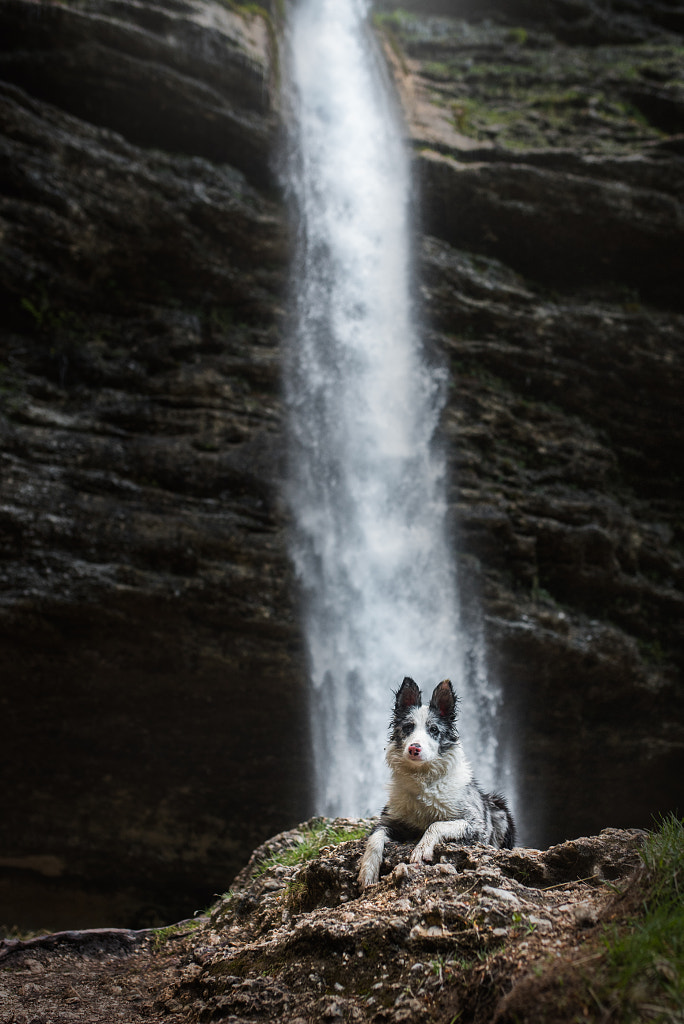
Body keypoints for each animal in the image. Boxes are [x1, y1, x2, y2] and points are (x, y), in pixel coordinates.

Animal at [358, 675, 511, 884]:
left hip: (499, 807)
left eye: (433, 729)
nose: (414, 748)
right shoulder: (390, 819)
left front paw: (422, 849)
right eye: (408, 727)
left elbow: (436, 824)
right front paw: (368, 870)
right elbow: (374, 838)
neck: (423, 779)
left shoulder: (477, 825)